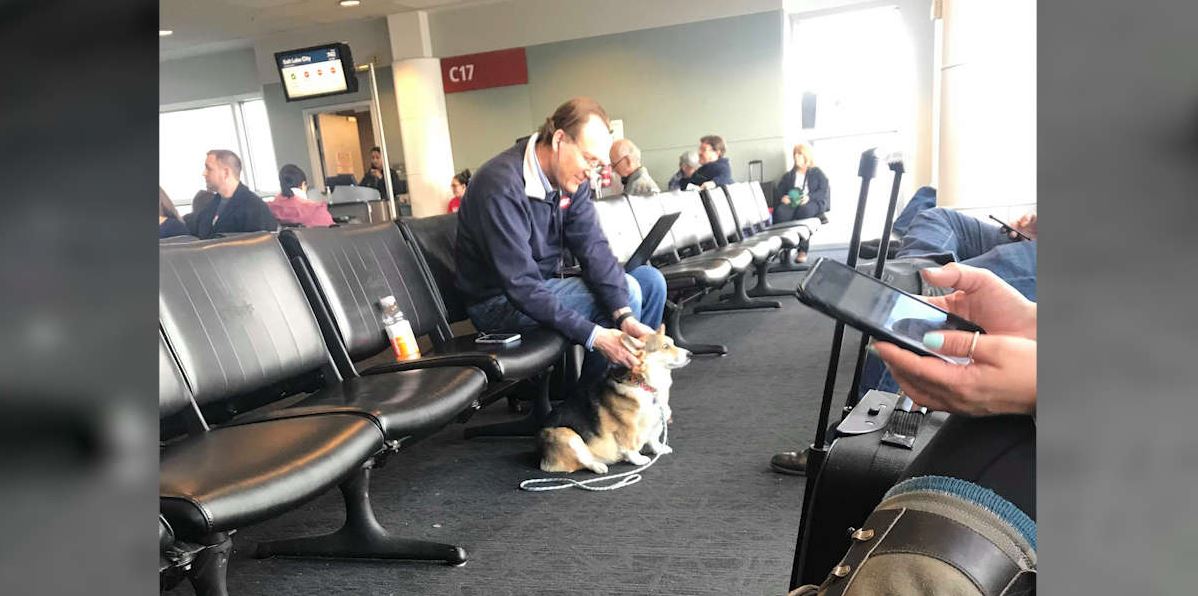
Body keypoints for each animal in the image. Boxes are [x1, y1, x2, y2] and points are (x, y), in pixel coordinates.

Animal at [536, 326, 694, 474]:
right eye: (665, 346)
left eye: (673, 343)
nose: (690, 354)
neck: (644, 384)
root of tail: (543, 458)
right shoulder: (627, 428)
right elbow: (630, 447)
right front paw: (638, 459)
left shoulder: (656, 423)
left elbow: (654, 439)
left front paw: (660, 449)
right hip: (568, 436)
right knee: (584, 460)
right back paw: (599, 466)